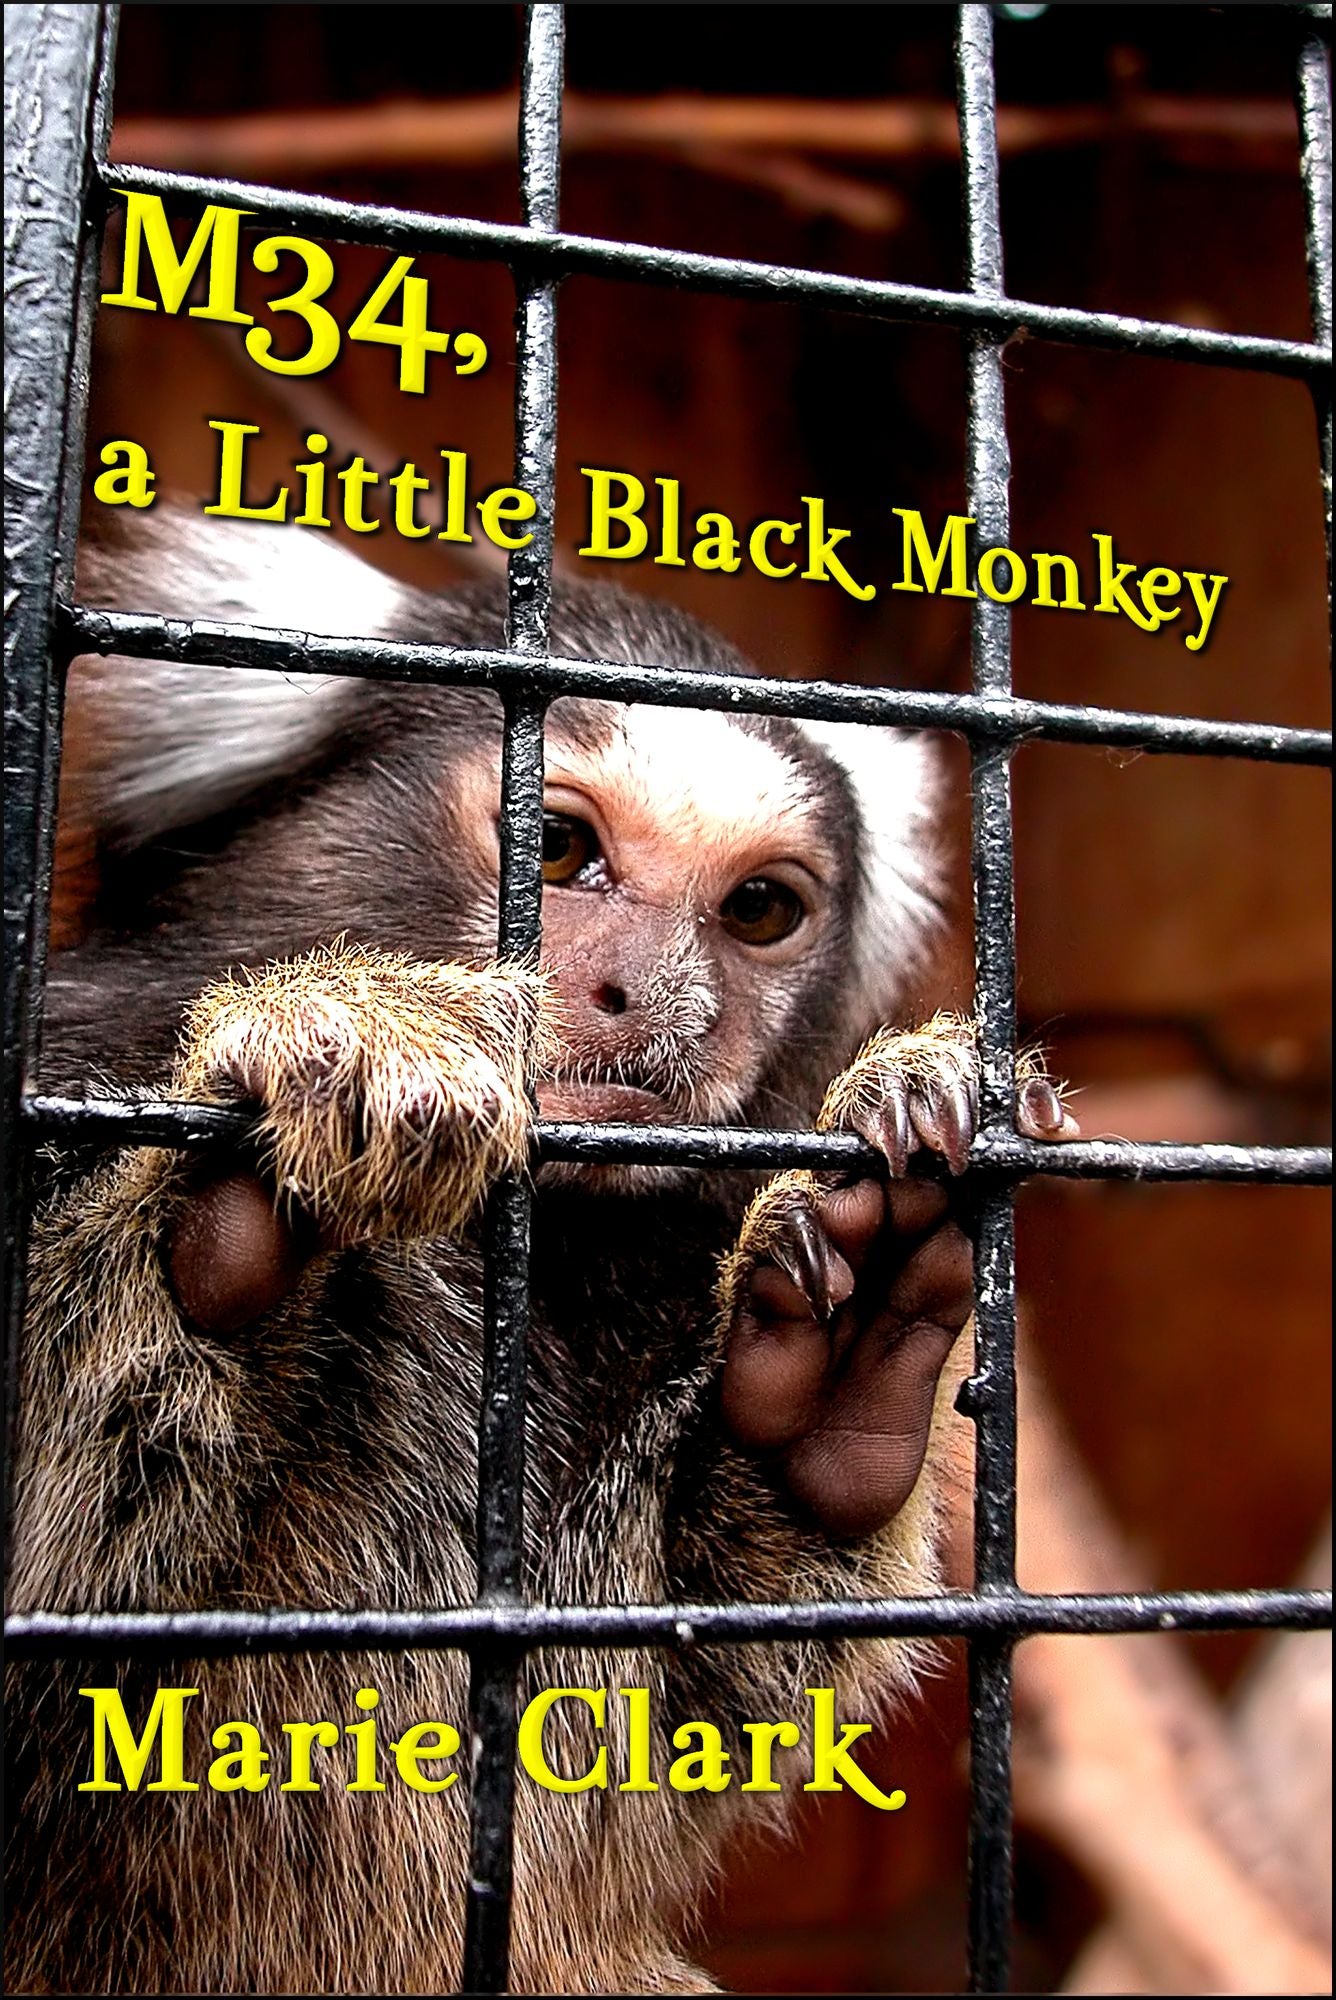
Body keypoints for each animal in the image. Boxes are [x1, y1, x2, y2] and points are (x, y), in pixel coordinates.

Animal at [4, 506, 1077, 1996]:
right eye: (558, 849)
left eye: (759, 911)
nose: (659, 1002)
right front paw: (275, 1136)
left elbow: (643, 1743)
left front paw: (832, 1388)